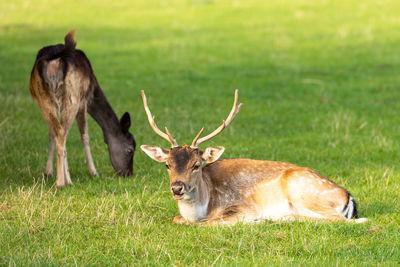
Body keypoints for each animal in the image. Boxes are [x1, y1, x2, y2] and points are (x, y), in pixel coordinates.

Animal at [29, 30, 136, 187]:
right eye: (130, 150)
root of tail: (54, 62)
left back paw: (60, 179)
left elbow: (51, 135)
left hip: (44, 99)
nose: (128, 173)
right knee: (62, 133)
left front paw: (48, 172)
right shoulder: (84, 101)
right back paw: (63, 182)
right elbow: (85, 136)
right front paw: (94, 172)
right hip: (72, 97)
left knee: (58, 132)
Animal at [141, 90, 368, 226]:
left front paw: (255, 221)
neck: (202, 208)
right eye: (167, 165)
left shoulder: (243, 207)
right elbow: (177, 218)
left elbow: (210, 223)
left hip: (305, 191)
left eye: (196, 165)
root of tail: (348, 196)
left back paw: (278, 218)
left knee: (344, 221)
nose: (177, 188)